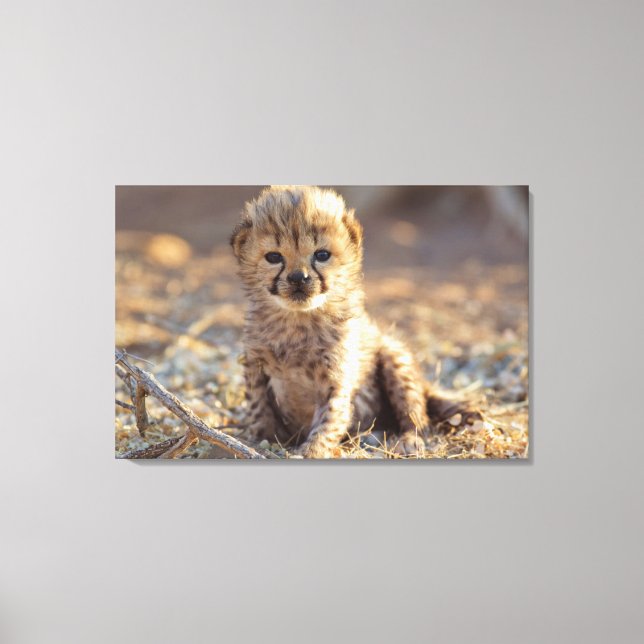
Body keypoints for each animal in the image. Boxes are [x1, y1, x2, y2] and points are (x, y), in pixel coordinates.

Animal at [230, 185, 469, 458]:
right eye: (273, 257)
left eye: (322, 255)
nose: (298, 278)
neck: (298, 321)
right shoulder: (255, 366)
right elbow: (258, 409)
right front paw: (261, 439)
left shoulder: (335, 381)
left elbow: (329, 420)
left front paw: (311, 451)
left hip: (394, 355)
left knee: (416, 412)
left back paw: (409, 439)